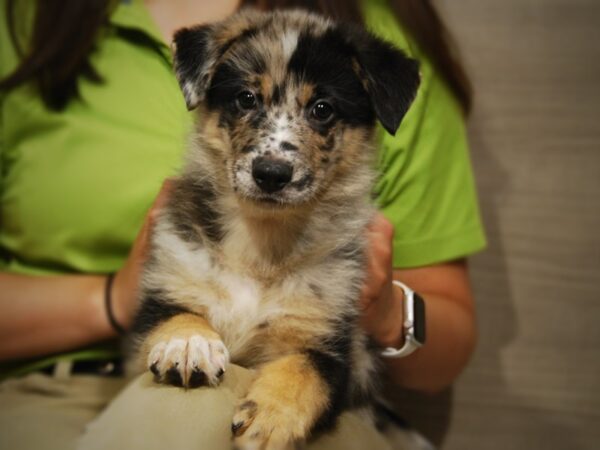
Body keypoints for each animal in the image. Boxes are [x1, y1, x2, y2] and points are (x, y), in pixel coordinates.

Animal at [129, 7, 420, 450]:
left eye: (322, 108)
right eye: (246, 98)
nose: (270, 173)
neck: (262, 244)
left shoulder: (331, 342)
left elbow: (305, 371)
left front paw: (271, 417)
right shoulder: (168, 285)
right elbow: (177, 315)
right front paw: (190, 345)